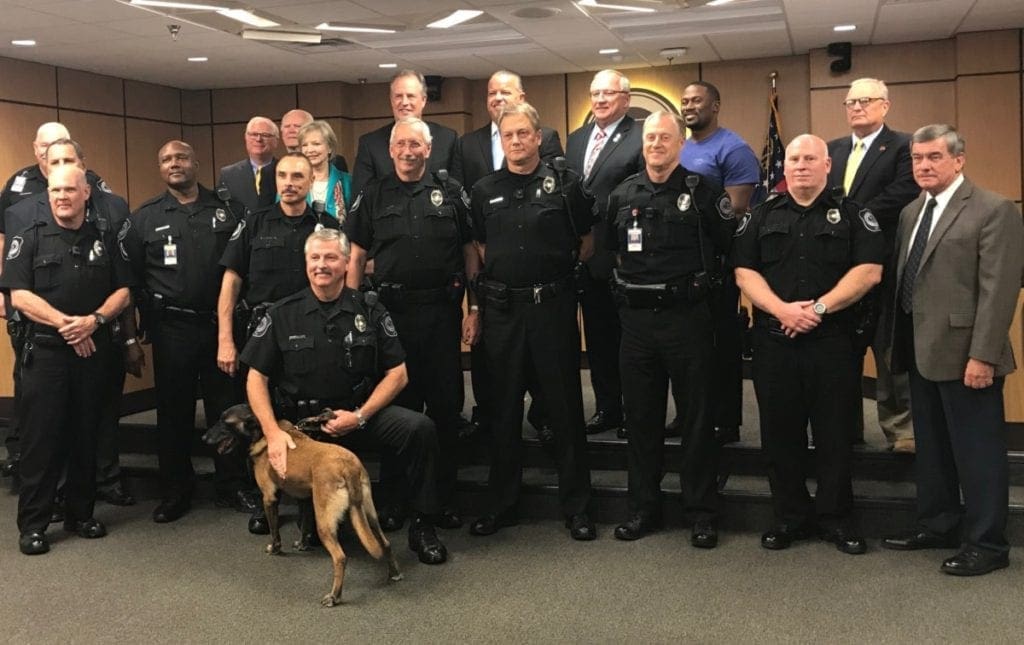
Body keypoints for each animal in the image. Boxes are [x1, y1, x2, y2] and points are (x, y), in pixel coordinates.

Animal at [204, 405, 403, 606]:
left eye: (224, 422)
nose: (203, 438)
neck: (263, 435)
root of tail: (348, 467)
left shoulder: (269, 498)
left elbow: (275, 532)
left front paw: (275, 549)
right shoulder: (305, 500)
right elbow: (305, 527)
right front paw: (302, 545)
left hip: (325, 523)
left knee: (340, 557)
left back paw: (334, 596)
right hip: (369, 514)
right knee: (385, 543)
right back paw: (394, 573)